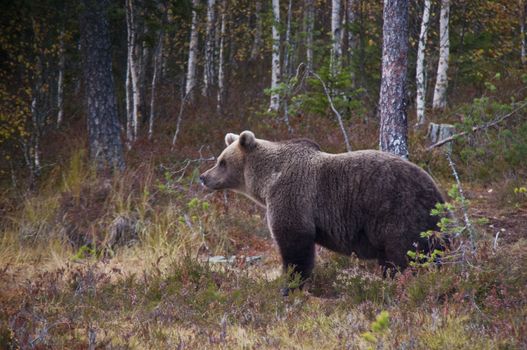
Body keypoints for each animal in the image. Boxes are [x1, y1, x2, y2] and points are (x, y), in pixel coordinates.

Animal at [200, 131, 448, 292]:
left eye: (221, 162)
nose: (203, 176)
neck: (267, 180)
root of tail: (437, 192)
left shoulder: (292, 196)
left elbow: (295, 243)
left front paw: (291, 285)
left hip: (399, 212)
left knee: (405, 255)